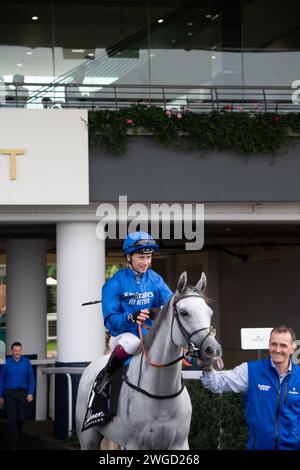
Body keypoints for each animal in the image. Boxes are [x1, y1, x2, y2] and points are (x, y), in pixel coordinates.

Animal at [75, 274, 223, 450]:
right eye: (184, 312)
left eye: (209, 312)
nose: (213, 350)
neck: (162, 395)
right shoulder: (135, 444)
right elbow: (111, 316)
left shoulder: (179, 443)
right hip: (88, 438)